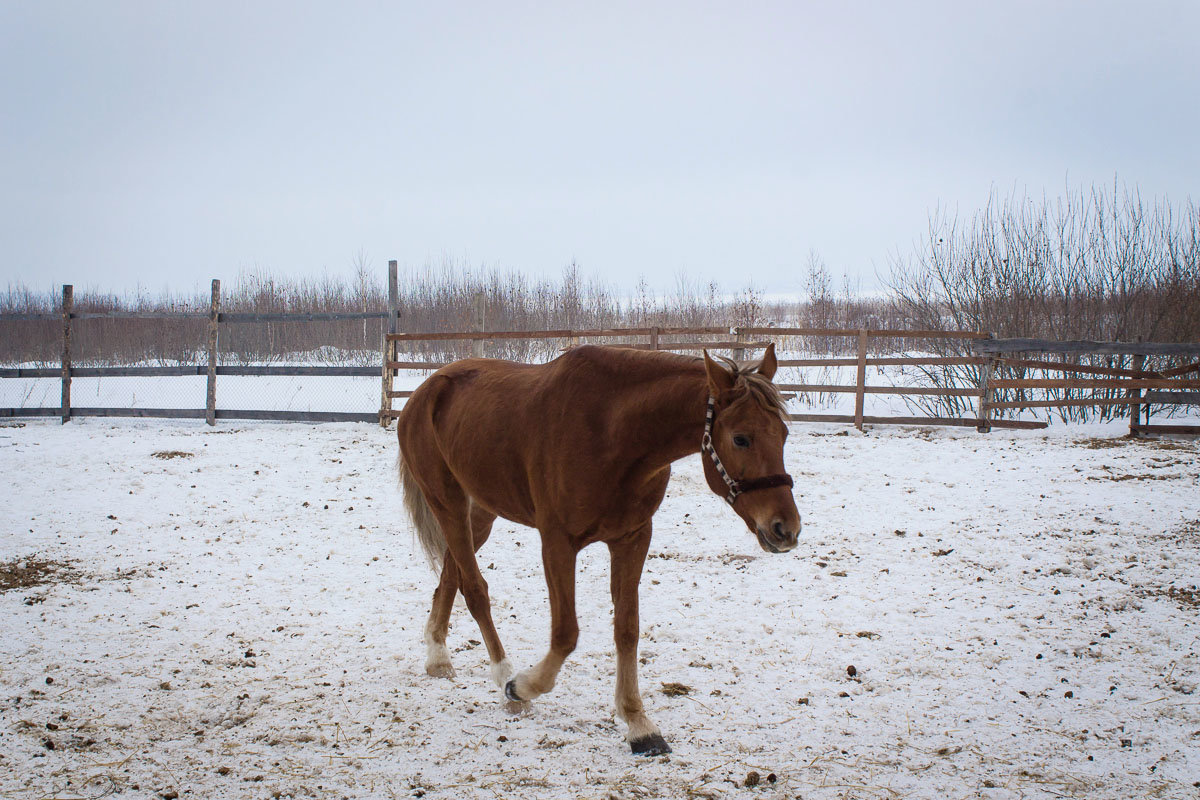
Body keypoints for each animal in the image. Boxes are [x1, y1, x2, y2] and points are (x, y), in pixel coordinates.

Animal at [398, 345, 801, 758]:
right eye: (741, 439)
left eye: (783, 433)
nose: (785, 529)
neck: (612, 433)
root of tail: (424, 392)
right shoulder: (557, 542)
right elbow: (566, 633)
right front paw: (523, 686)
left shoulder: (632, 538)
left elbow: (627, 629)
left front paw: (638, 724)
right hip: (447, 503)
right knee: (475, 589)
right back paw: (504, 679)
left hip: (480, 512)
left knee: (451, 575)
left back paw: (437, 657)